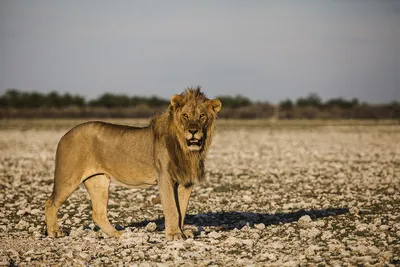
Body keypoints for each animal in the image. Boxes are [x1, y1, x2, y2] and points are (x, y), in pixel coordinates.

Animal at [45, 87, 223, 241]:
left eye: (202, 116)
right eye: (185, 115)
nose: (193, 131)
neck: (187, 150)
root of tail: (65, 134)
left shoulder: (185, 182)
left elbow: (182, 210)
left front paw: (182, 232)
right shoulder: (164, 177)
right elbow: (172, 208)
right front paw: (174, 234)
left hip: (98, 181)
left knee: (98, 213)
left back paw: (118, 235)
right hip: (68, 177)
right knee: (51, 203)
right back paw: (54, 232)